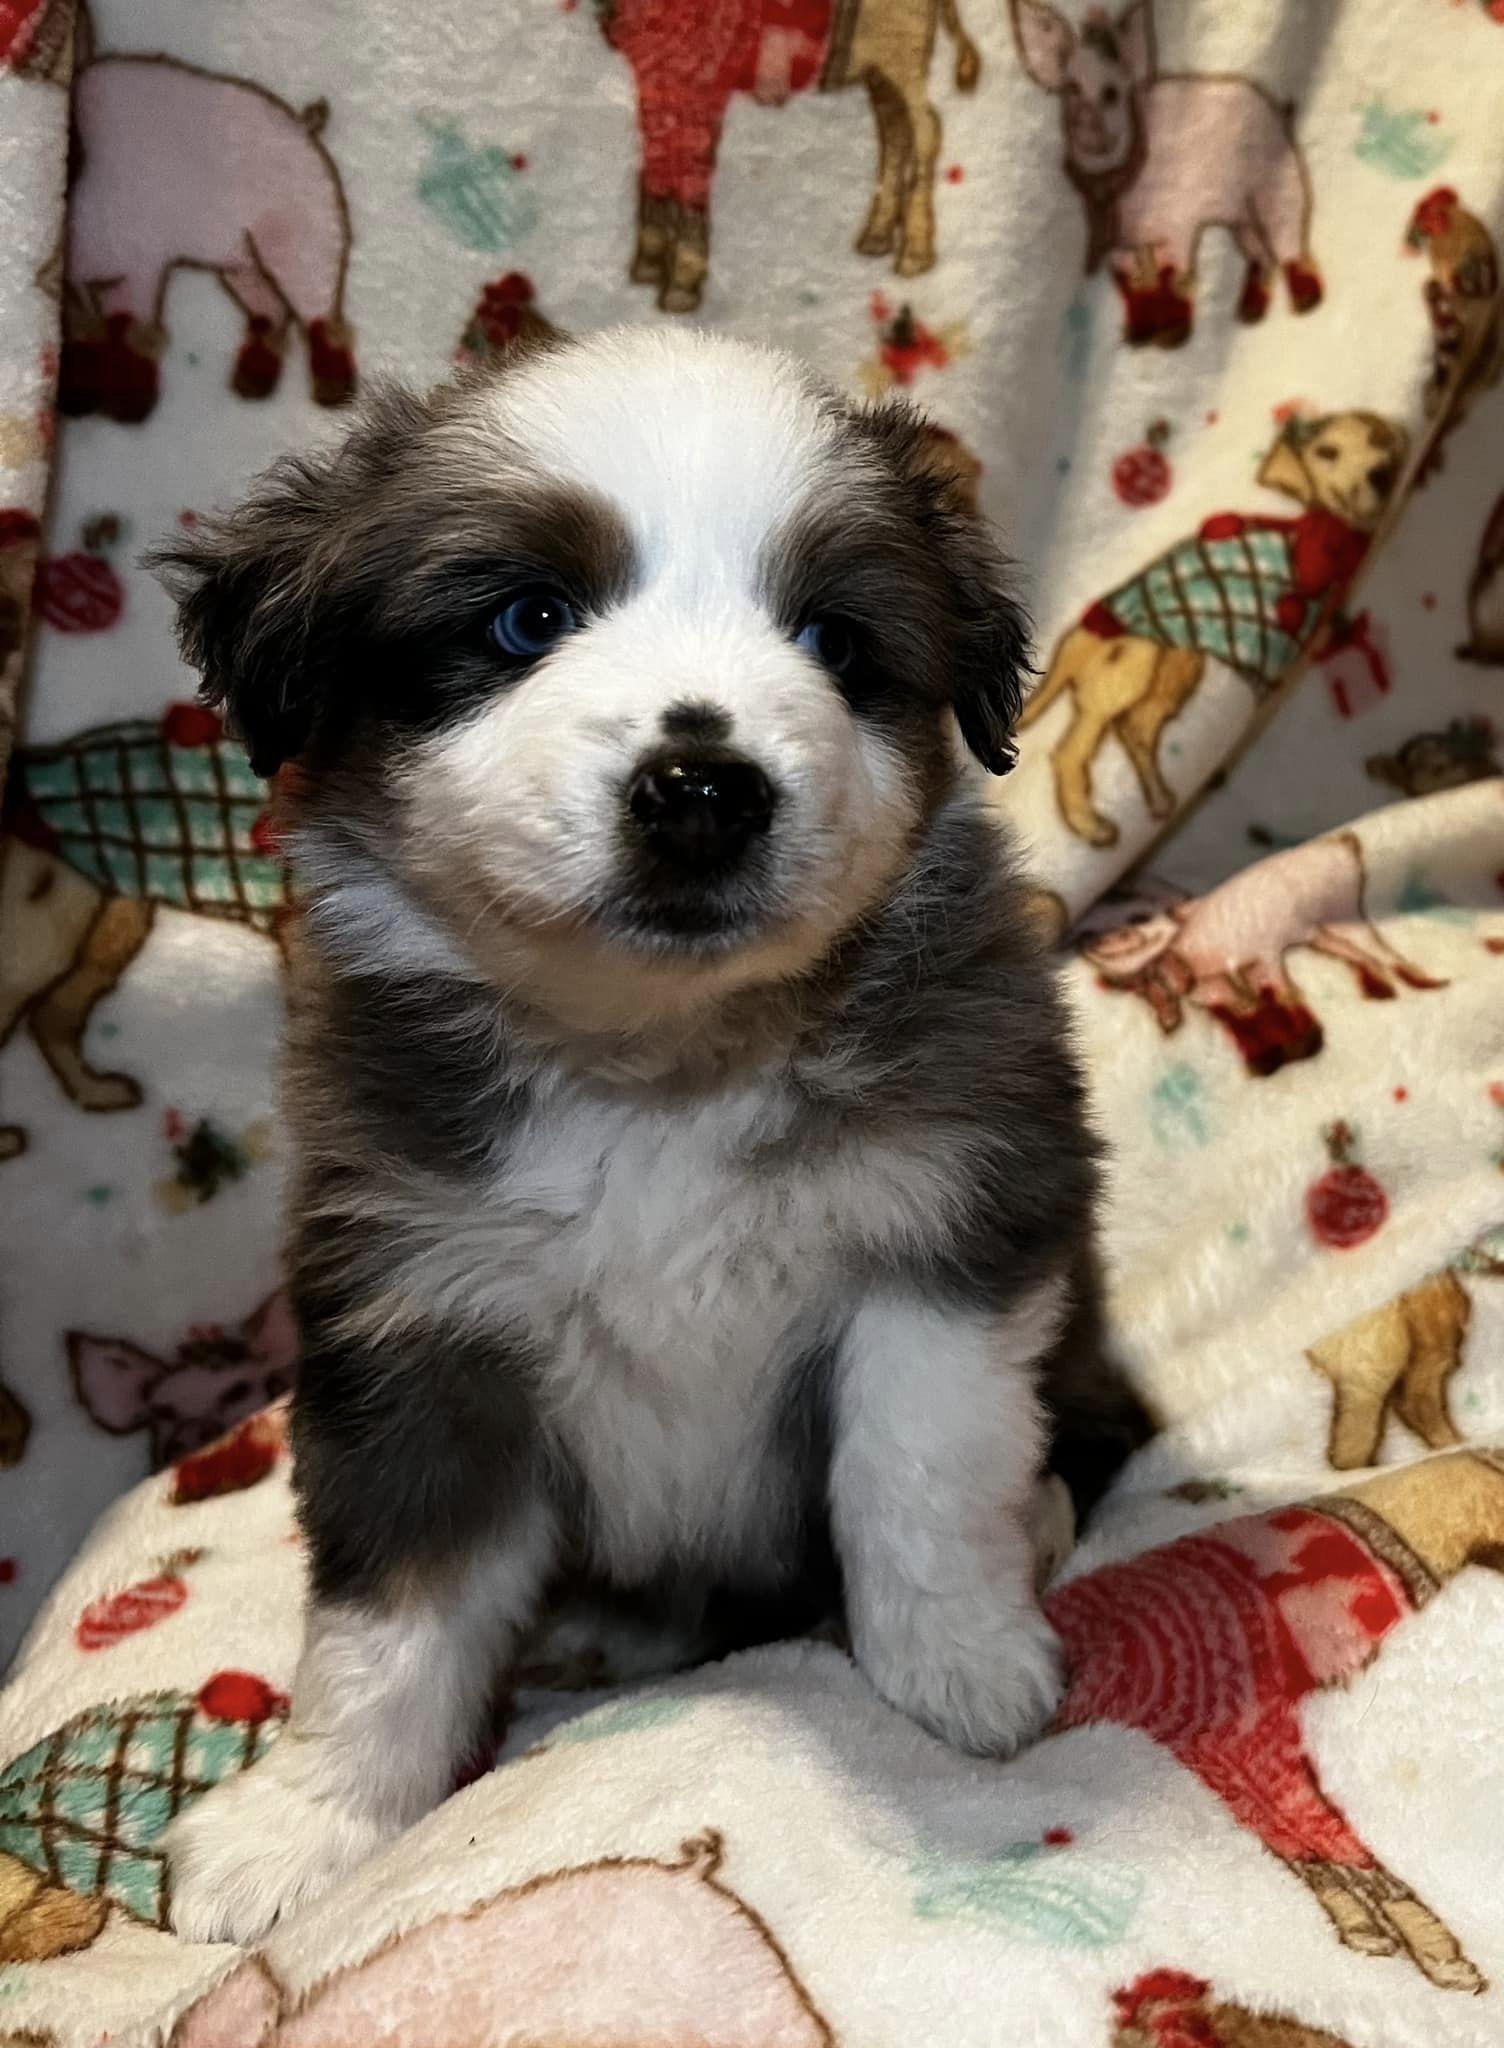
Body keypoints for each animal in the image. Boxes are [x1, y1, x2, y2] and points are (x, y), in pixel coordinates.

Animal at [153, 326, 1148, 1943]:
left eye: (833, 640)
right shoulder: (415, 1319)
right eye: (526, 618)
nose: (702, 787)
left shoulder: (949, 1227)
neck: (657, 1070)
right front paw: (313, 1820)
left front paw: (961, 1664)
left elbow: (919, 1476)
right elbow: (387, 1615)